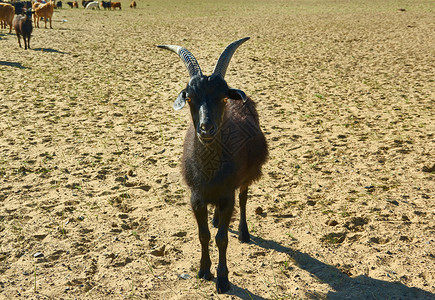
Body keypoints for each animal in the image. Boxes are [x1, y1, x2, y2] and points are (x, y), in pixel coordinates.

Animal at [159, 37, 270, 292]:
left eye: (223, 97)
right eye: (190, 98)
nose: (206, 128)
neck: (209, 170)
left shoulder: (227, 195)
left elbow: (221, 238)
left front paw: (222, 279)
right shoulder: (196, 197)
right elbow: (204, 235)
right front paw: (203, 270)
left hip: (246, 178)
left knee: (244, 198)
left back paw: (244, 232)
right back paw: (216, 218)